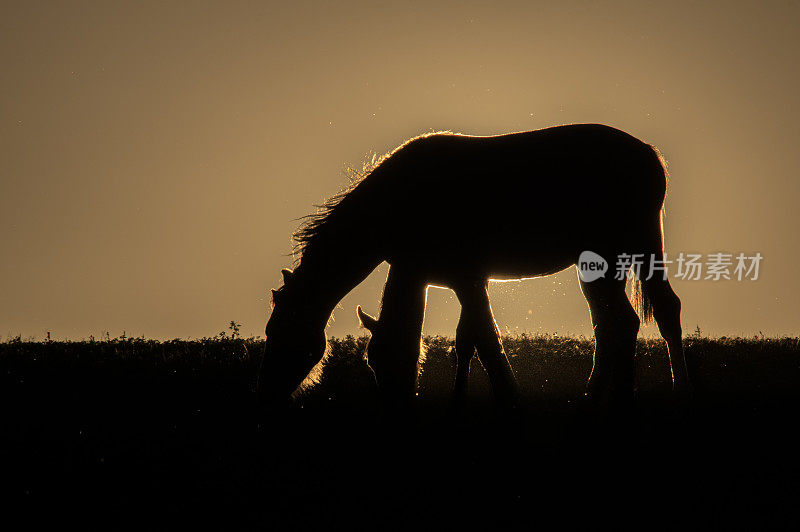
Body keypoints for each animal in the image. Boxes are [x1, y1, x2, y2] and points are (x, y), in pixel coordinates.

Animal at [260, 123, 692, 412]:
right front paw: (462, 397)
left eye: (281, 334)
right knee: (632, 318)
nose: (268, 393)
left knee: (636, 318)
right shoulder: (449, 279)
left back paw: (657, 392)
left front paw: (507, 395)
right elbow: (465, 339)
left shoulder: (465, 280)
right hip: (617, 261)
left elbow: (483, 339)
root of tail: (647, 153)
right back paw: (617, 394)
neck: (398, 202)